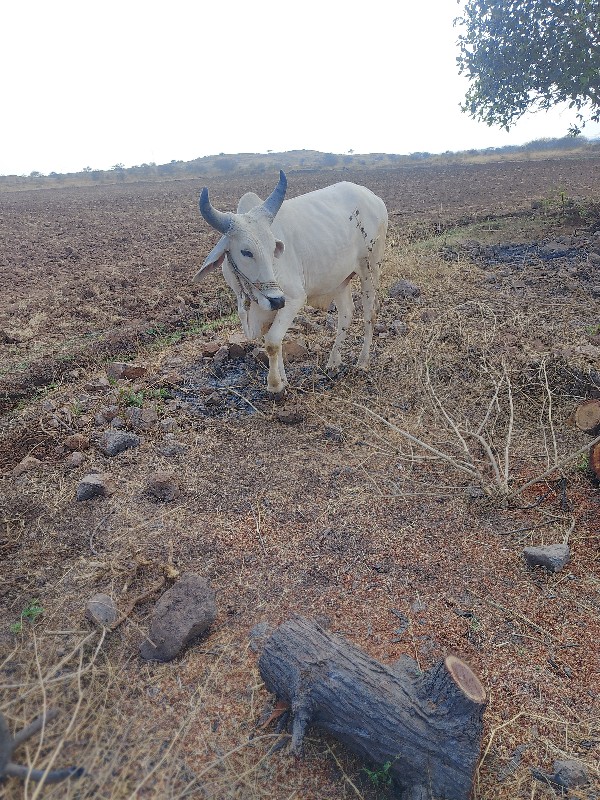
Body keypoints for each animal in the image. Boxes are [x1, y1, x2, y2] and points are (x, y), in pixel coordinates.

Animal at [193, 171, 390, 394]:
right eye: (246, 251)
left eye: (273, 248)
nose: (277, 300)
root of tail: (373, 198)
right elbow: (275, 343)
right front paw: (284, 380)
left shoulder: (294, 299)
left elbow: (272, 342)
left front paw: (275, 385)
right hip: (340, 279)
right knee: (346, 314)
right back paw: (333, 362)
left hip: (370, 269)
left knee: (369, 314)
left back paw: (362, 362)